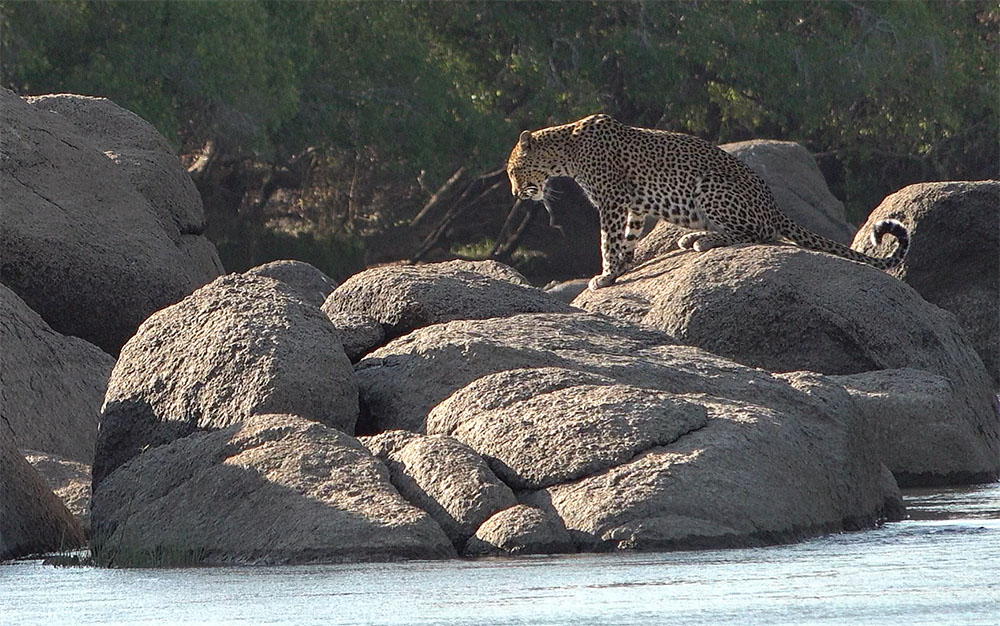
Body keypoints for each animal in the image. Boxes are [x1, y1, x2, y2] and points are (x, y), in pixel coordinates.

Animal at [508, 113, 908, 288]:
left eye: (513, 170)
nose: (513, 192)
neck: (566, 152)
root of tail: (775, 206)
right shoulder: (631, 205)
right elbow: (628, 238)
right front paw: (620, 268)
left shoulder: (613, 200)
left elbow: (608, 240)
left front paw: (605, 275)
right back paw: (692, 237)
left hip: (712, 188)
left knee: (760, 234)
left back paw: (701, 239)